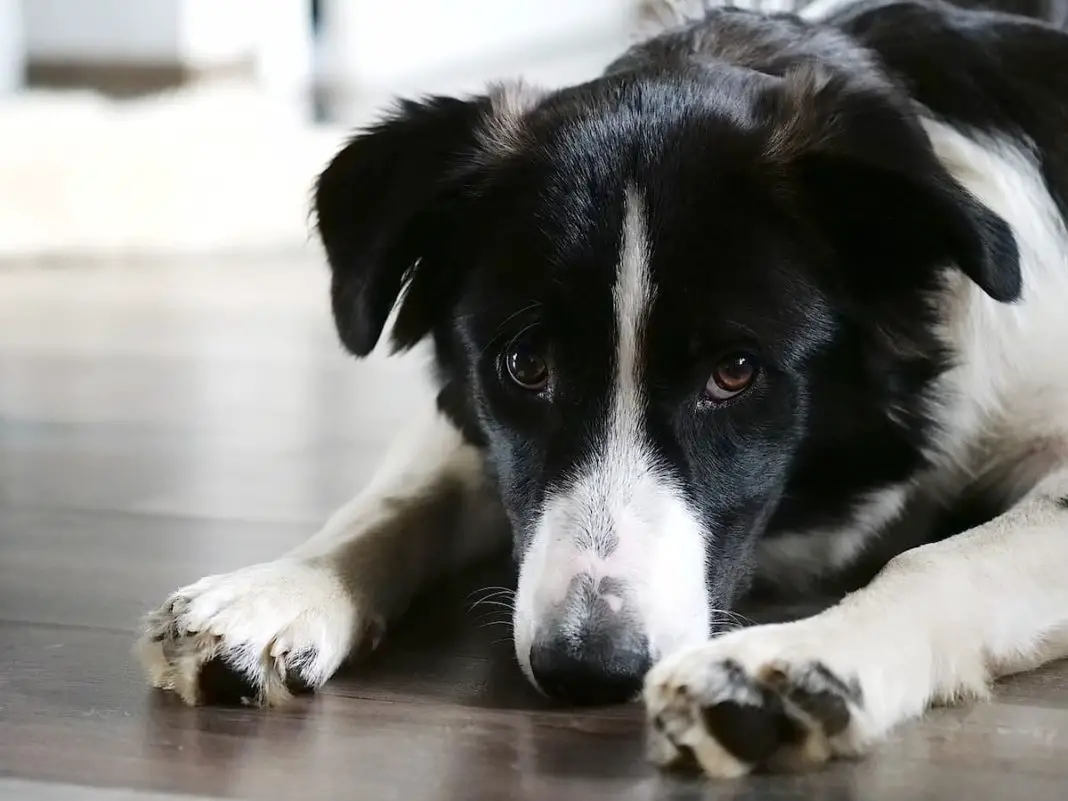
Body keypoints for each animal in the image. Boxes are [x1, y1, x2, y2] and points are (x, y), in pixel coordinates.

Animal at [137, 0, 1068, 781]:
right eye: (525, 363)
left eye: (735, 372)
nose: (588, 668)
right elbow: (403, 498)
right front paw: (278, 590)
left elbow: (937, 558)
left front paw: (802, 662)